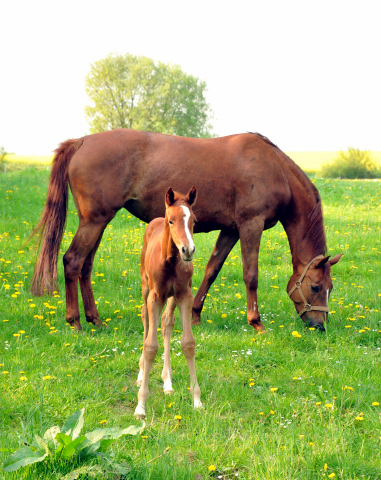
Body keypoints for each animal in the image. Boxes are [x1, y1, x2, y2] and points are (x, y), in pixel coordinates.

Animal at [31, 129, 342, 332]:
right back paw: (75, 321)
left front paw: (195, 315)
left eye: (330, 288)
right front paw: (256, 322)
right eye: (315, 286)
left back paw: (94, 318)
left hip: (98, 222)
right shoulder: (250, 225)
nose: (320, 325)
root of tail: (81, 141)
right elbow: (251, 275)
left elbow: (212, 270)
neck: (274, 168)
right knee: (72, 261)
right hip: (94, 221)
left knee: (85, 266)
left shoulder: (230, 230)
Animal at [134, 186, 202, 418]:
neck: (171, 262)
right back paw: (141, 374)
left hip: (171, 298)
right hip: (146, 288)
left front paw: (197, 400)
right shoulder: (155, 297)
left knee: (166, 323)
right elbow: (150, 346)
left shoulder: (184, 295)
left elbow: (188, 343)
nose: (188, 250)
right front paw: (140, 406)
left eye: (194, 221)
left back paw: (168, 383)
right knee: (146, 319)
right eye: (171, 221)